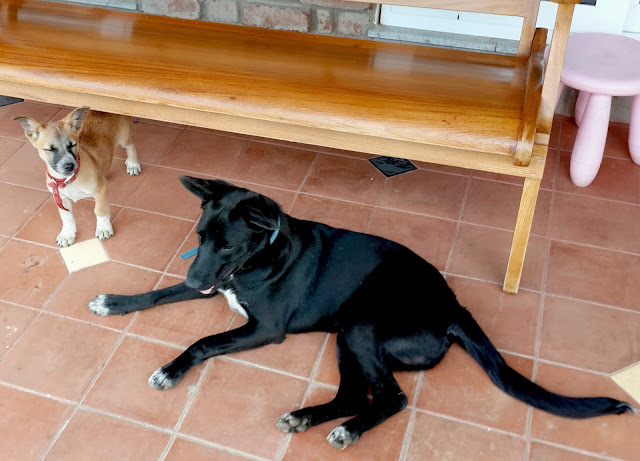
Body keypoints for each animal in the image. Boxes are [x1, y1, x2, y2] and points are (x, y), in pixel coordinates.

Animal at [14, 107, 141, 247]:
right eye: (50, 149)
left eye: (72, 145)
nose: (69, 166)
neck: (68, 180)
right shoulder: (61, 197)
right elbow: (66, 216)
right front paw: (67, 234)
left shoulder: (100, 191)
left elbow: (100, 210)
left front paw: (103, 228)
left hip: (124, 136)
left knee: (131, 145)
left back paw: (133, 164)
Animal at [88, 177, 634, 450]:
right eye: (199, 237)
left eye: (227, 245)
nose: (197, 280)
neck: (262, 253)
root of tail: (453, 306)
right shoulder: (211, 286)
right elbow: (157, 294)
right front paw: (115, 301)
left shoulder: (264, 328)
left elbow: (202, 342)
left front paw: (170, 370)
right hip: (346, 339)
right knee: (354, 393)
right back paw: (307, 417)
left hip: (360, 328)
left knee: (392, 397)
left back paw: (348, 430)